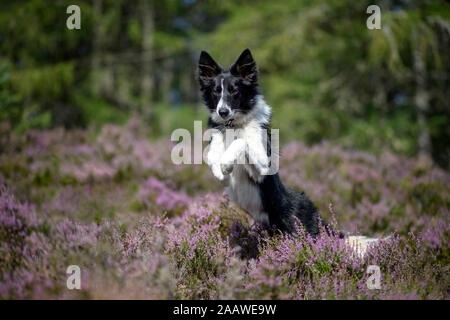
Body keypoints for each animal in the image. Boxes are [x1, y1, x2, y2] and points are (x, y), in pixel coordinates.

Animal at [199, 48, 326, 236]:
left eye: (234, 91)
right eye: (216, 91)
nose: (223, 112)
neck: (235, 125)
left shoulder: (262, 169)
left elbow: (241, 142)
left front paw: (226, 163)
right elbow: (213, 155)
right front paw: (218, 168)